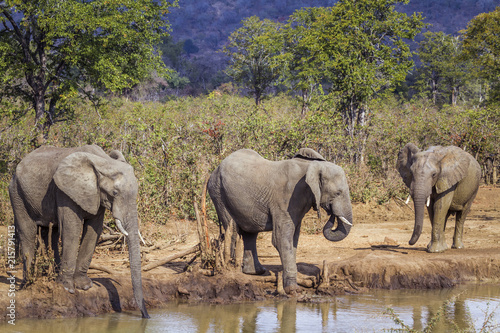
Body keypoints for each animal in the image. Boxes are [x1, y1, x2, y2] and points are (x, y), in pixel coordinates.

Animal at [8, 144, 149, 318]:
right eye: (115, 193)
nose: (146, 316)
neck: (103, 162)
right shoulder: (64, 191)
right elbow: (72, 229)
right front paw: (67, 288)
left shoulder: (96, 195)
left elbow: (94, 230)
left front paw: (84, 286)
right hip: (17, 193)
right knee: (27, 231)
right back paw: (28, 283)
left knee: (51, 232)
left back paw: (51, 275)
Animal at [209, 147, 354, 290]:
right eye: (337, 193)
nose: (331, 212)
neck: (312, 166)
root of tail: (215, 169)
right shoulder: (286, 199)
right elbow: (280, 239)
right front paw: (292, 289)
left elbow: (293, 240)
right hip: (219, 194)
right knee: (233, 230)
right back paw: (235, 269)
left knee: (250, 233)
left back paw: (256, 272)